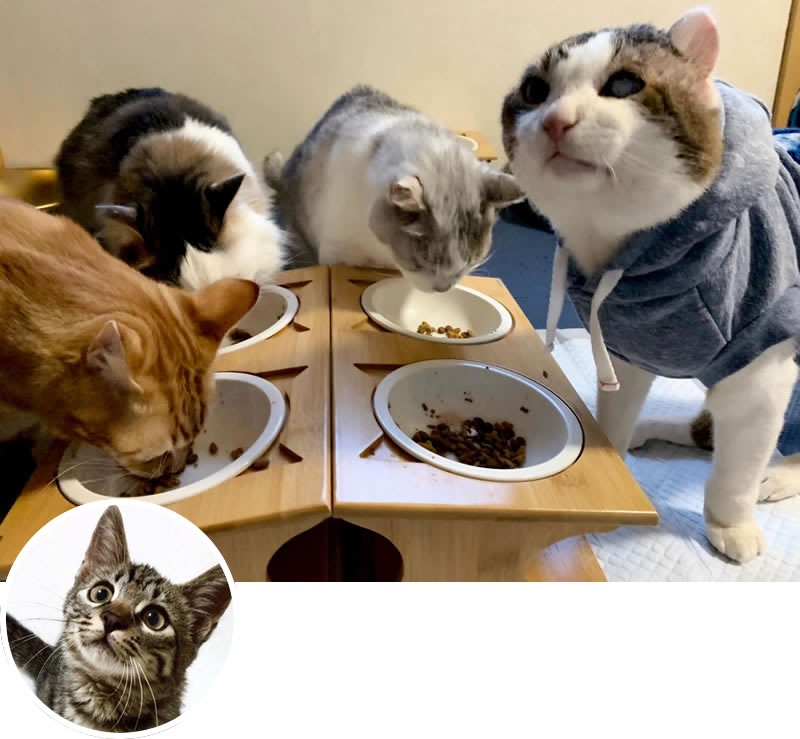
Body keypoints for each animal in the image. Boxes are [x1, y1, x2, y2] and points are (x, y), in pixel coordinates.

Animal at [501, 7, 800, 564]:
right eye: (535, 90)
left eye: (624, 84)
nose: (555, 119)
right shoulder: (624, 349)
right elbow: (614, 414)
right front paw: (616, 467)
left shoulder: (761, 363)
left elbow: (738, 466)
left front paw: (731, 521)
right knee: (706, 425)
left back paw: (779, 473)